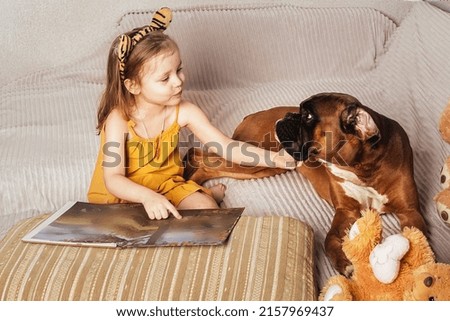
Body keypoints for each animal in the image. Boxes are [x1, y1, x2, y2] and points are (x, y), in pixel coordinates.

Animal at [185, 92, 428, 276]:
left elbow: (419, 242)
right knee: (200, 157)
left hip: (266, 165)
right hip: (252, 159)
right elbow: (329, 240)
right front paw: (345, 265)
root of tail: (253, 114)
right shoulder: (345, 211)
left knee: (203, 160)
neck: (362, 169)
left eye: (309, 115)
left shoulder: (410, 212)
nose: (288, 115)